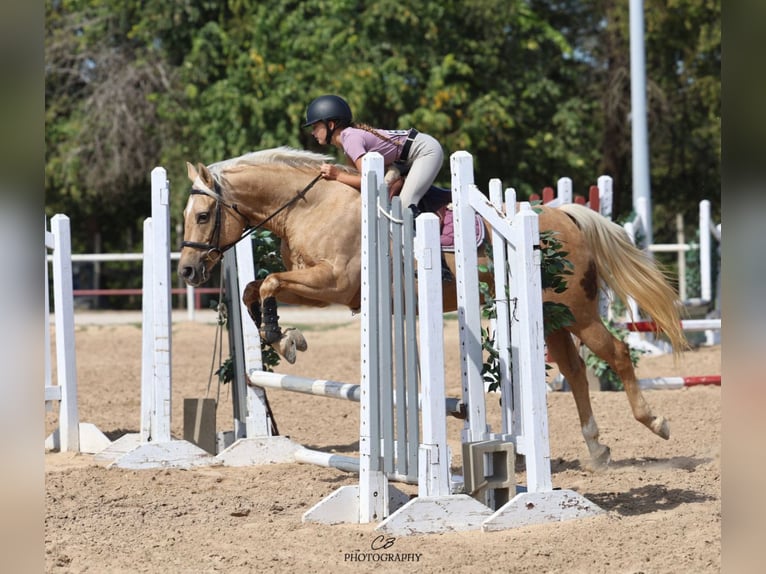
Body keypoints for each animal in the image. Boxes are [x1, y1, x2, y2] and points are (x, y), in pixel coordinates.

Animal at [177, 146, 687, 469]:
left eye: (202, 216)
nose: (186, 271)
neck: (309, 205)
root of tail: (564, 214)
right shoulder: (318, 286)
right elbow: (253, 288)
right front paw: (281, 336)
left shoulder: (335, 283)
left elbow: (267, 283)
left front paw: (283, 338)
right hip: (552, 317)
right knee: (577, 370)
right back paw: (597, 450)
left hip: (578, 310)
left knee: (617, 355)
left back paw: (657, 423)